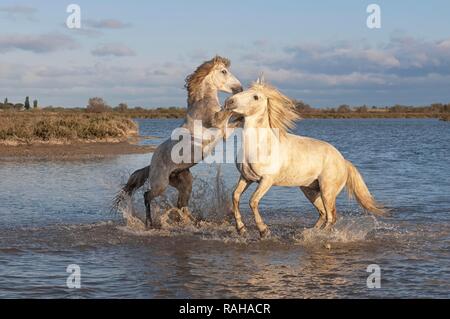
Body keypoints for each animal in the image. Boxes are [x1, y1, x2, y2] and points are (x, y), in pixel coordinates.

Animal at [116, 56, 243, 229]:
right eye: (224, 71)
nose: (240, 88)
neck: (202, 101)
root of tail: (151, 165)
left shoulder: (224, 132)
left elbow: (236, 120)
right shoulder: (217, 122)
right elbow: (229, 109)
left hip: (184, 182)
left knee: (181, 204)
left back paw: (193, 222)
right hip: (160, 184)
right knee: (147, 195)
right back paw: (150, 223)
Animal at [221, 81, 384, 239]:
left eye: (255, 97)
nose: (229, 102)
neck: (260, 145)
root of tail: (343, 161)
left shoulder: (266, 180)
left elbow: (253, 201)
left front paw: (263, 231)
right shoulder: (246, 177)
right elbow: (235, 196)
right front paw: (241, 229)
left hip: (327, 191)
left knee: (331, 216)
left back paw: (321, 236)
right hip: (310, 190)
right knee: (323, 213)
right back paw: (308, 233)